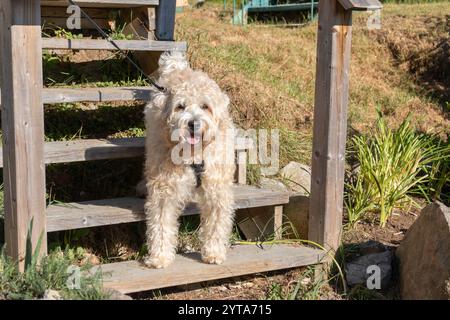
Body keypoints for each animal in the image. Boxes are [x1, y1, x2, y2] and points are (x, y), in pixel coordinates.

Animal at [143, 52, 236, 268]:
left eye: (205, 106)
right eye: (180, 107)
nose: (193, 123)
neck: (194, 153)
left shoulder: (217, 190)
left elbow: (216, 224)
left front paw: (214, 252)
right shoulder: (164, 190)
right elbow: (161, 223)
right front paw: (160, 256)